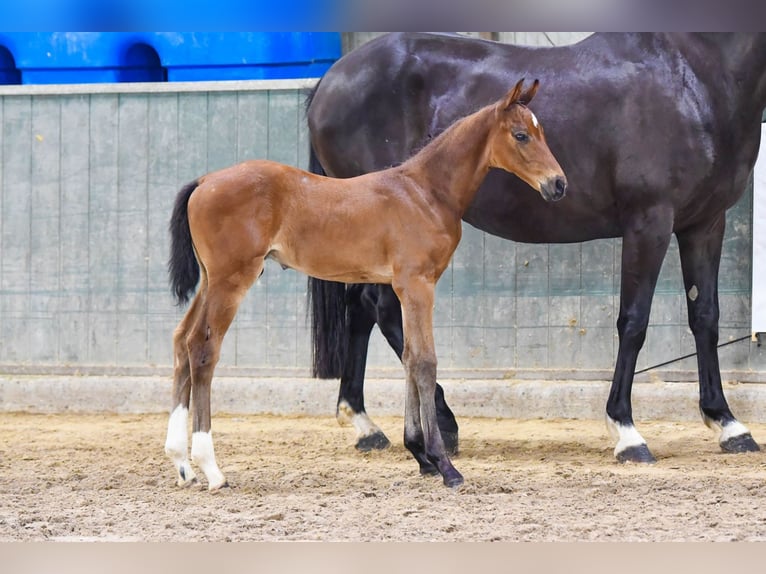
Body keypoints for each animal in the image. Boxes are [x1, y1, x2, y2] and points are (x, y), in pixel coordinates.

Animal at [164, 79, 567, 490]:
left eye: (541, 133)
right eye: (520, 135)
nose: (558, 184)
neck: (425, 192)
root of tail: (204, 182)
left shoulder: (404, 287)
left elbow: (409, 357)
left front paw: (420, 455)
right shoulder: (417, 284)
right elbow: (425, 361)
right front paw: (444, 464)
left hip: (210, 280)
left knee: (182, 341)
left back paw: (182, 464)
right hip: (231, 281)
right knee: (203, 349)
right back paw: (212, 469)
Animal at [306, 32, 766, 464]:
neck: (689, 71)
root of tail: (330, 79)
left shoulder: (705, 224)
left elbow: (705, 317)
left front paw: (728, 424)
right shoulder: (649, 221)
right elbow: (633, 322)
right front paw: (626, 432)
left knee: (361, 308)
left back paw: (365, 424)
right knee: (382, 309)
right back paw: (439, 422)